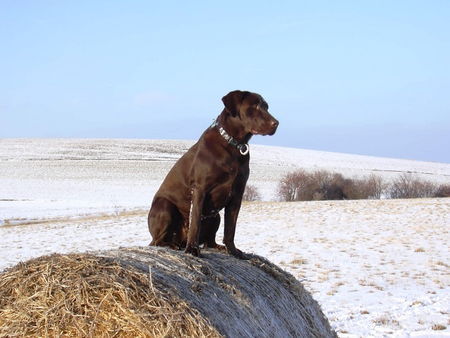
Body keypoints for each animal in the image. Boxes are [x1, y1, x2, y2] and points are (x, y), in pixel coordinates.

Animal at [149, 90, 278, 258]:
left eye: (266, 107)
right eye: (255, 106)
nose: (276, 123)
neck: (234, 145)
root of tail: (180, 240)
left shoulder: (237, 195)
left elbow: (230, 229)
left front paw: (233, 251)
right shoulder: (199, 190)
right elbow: (195, 223)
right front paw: (192, 249)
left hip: (215, 216)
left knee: (209, 242)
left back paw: (218, 247)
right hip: (165, 207)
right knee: (156, 241)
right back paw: (174, 246)